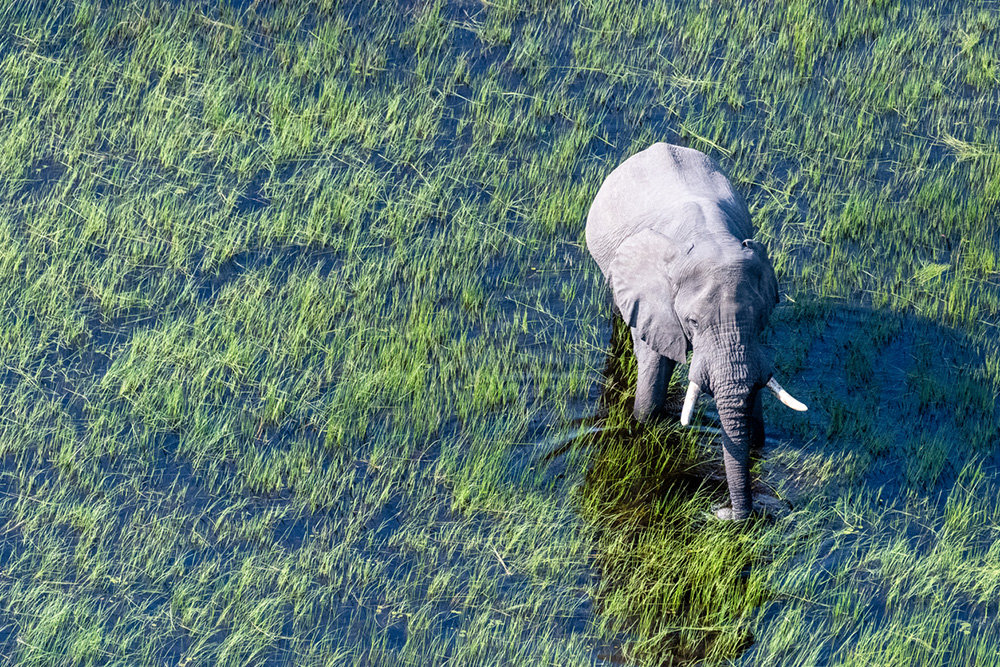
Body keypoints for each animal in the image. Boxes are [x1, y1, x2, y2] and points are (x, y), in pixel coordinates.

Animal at [584, 144, 804, 520]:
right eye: (694, 322)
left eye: (760, 318)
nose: (725, 513)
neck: (708, 239)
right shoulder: (652, 297)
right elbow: (654, 369)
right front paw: (645, 428)